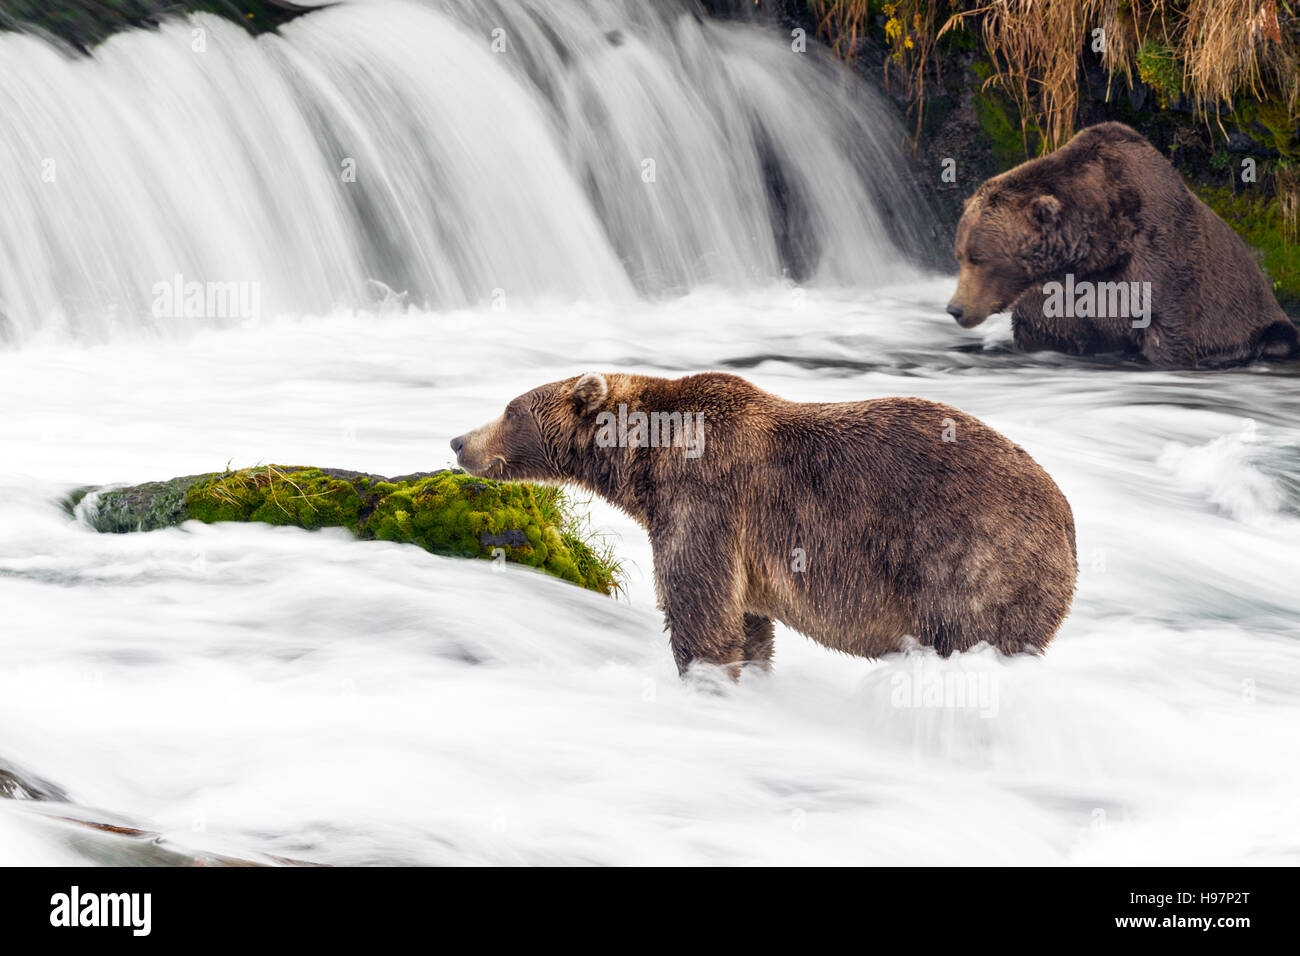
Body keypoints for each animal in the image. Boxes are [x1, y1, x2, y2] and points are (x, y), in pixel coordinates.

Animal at [452, 369, 1081, 676]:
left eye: (510, 410)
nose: (459, 440)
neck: (645, 461)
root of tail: (1069, 519)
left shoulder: (705, 500)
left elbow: (700, 611)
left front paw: (704, 674)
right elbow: (748, 623)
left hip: (974, 559)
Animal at [946, 121, 1300, 369]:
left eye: (979, 258)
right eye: (960, 255)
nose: (955, 308)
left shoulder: (1159, 259)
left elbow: (1167, 332)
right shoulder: (1055, 296)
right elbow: (1046, 331)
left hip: (1259, 321)